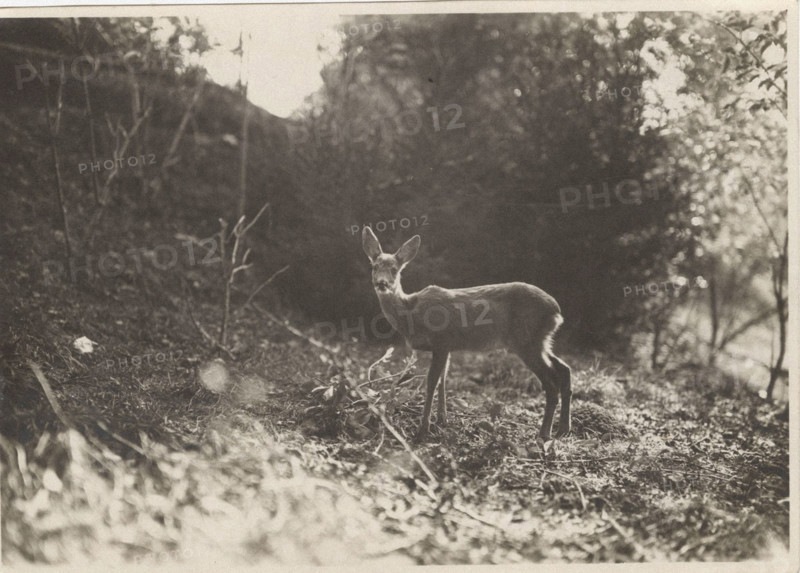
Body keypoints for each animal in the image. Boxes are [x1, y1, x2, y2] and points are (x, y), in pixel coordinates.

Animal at [362, 226, 571, 442]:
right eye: (374, 267)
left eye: (395, 269)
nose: (382, 283)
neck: (411, 313)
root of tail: (556, 311)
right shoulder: (447, 346)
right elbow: (443, 380)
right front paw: (441, 420)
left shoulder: (440, 341)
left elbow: (432, 382)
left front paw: (423, 429)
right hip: (540, 341)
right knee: (565, 369)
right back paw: (563, 428)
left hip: (526, 341)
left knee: (551, 382)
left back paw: (544, 433)